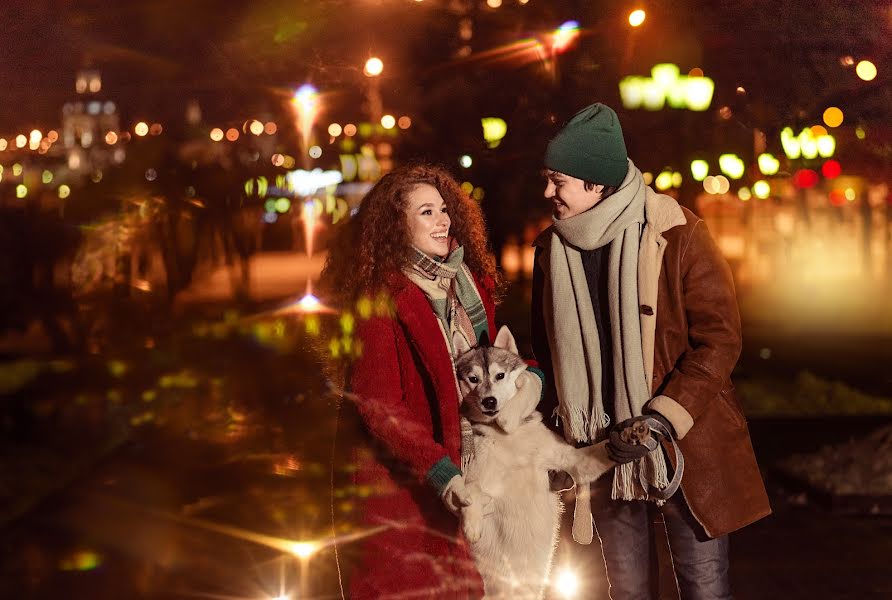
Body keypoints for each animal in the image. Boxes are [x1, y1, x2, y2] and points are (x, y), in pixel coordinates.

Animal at [452, 328, 612, 600]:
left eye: (500, 375)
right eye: (473, 379)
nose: (489, 401)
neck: (507, 438)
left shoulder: (574, 462)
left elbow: (600, 451)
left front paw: (635, 436)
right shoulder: (474, 475)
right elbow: (470, 490)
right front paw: (472, 524)